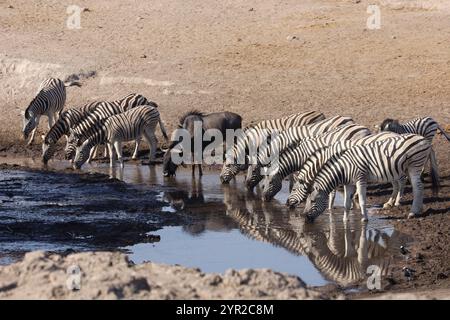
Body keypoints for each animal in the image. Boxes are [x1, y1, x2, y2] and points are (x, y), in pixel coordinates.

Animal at [302, 134, 436, 221]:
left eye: (312, 201)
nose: (305, 218)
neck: (344, 168)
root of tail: (424, 139)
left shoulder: (360, 179)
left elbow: (362, 200)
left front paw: (365, 219)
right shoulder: (349, 183)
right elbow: (346, 203)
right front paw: (345, 220)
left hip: (415, 165)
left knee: (418, 187)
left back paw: (413, 212)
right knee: (417, 187)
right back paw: (416, 210)